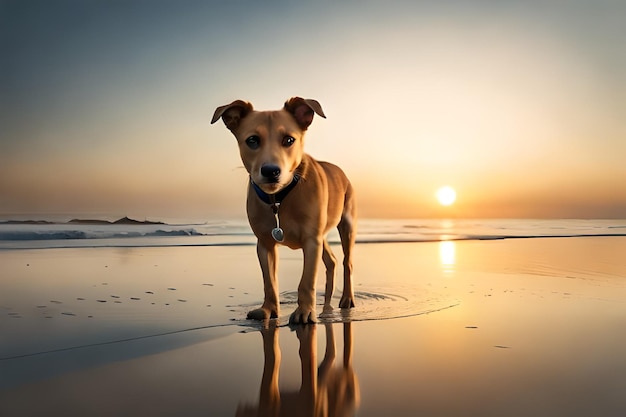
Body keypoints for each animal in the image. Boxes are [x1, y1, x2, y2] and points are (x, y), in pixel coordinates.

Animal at [211, 96, 354, 322]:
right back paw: (327, 303)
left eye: (288, 140)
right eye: (252, 140)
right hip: (322, 235)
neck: (279, 198)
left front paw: (305, 312)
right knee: (331, 261)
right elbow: (269, 281)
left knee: (347, 262)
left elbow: (307, 280)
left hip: (346, 224)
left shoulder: (311, 241)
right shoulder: (265, 243)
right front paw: (268, 309)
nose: (271, 171)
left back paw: (347, 299)